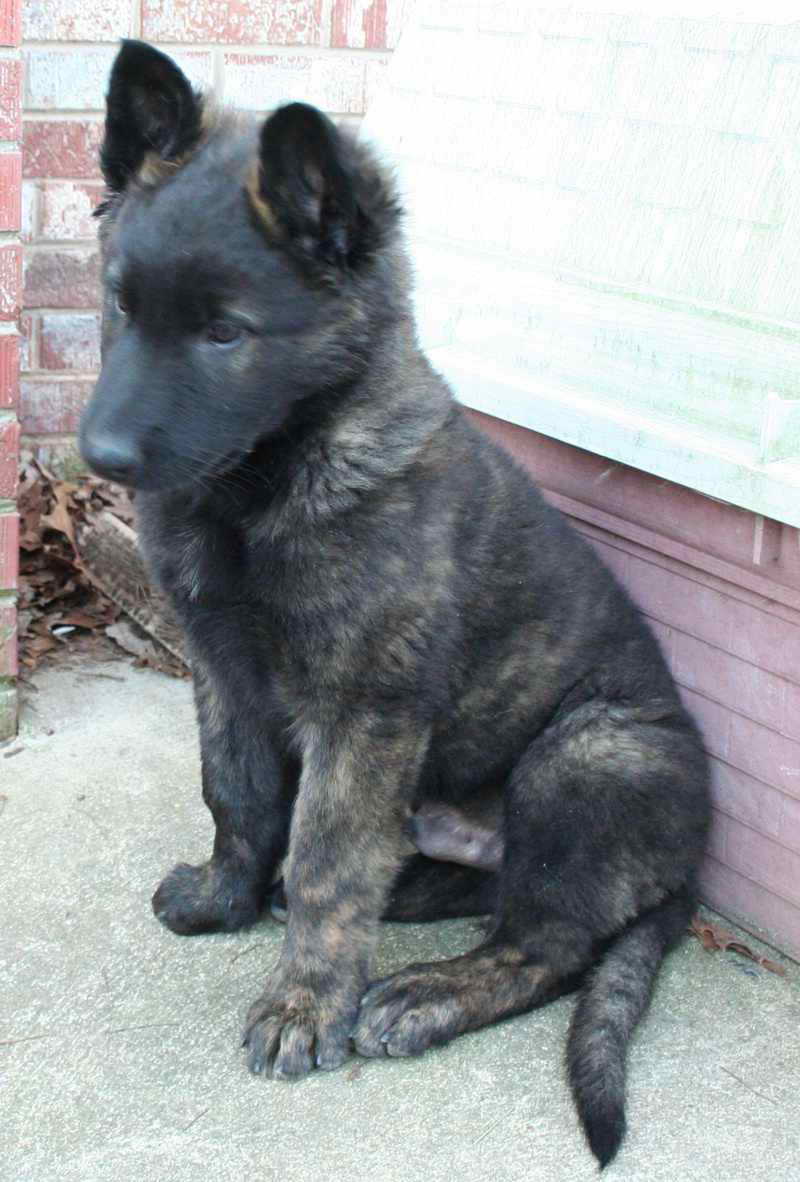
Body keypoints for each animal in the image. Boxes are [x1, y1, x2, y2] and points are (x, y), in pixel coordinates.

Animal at [79, 41, 704, 1167]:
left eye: (225, 333)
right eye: (120, 306)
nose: (100, 458)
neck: (262, 484)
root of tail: (687, 874)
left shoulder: (364, 710)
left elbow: (329, 855)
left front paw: (303, 1004)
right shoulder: (219, 669)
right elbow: (239, 796)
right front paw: (227, 898)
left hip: (585, 756)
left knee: (544, 945)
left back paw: (425, 994)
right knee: (484, 889)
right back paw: (402, 895)